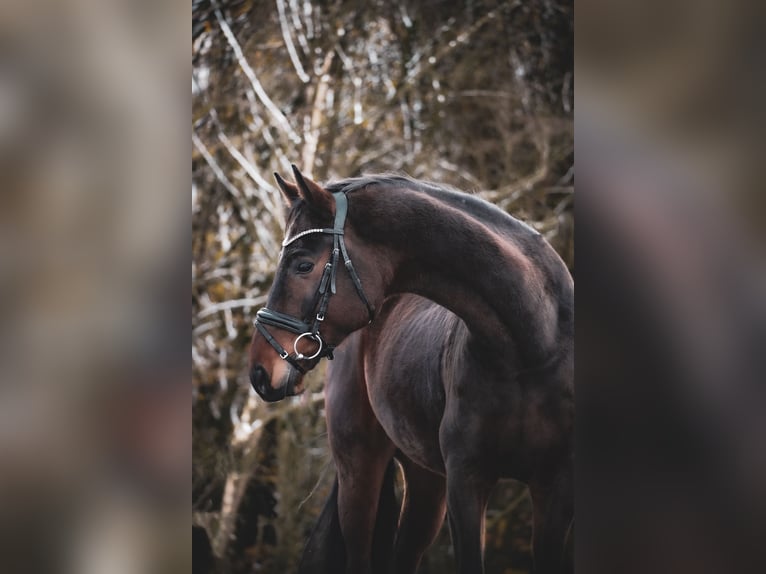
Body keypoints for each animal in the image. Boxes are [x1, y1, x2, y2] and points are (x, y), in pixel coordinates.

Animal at [250, 164, 576, 572]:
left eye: (303, 265)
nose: (259, 371)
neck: (529, 349)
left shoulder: (554, 487)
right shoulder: (466, 482)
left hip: (426, 484)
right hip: (361, 472)